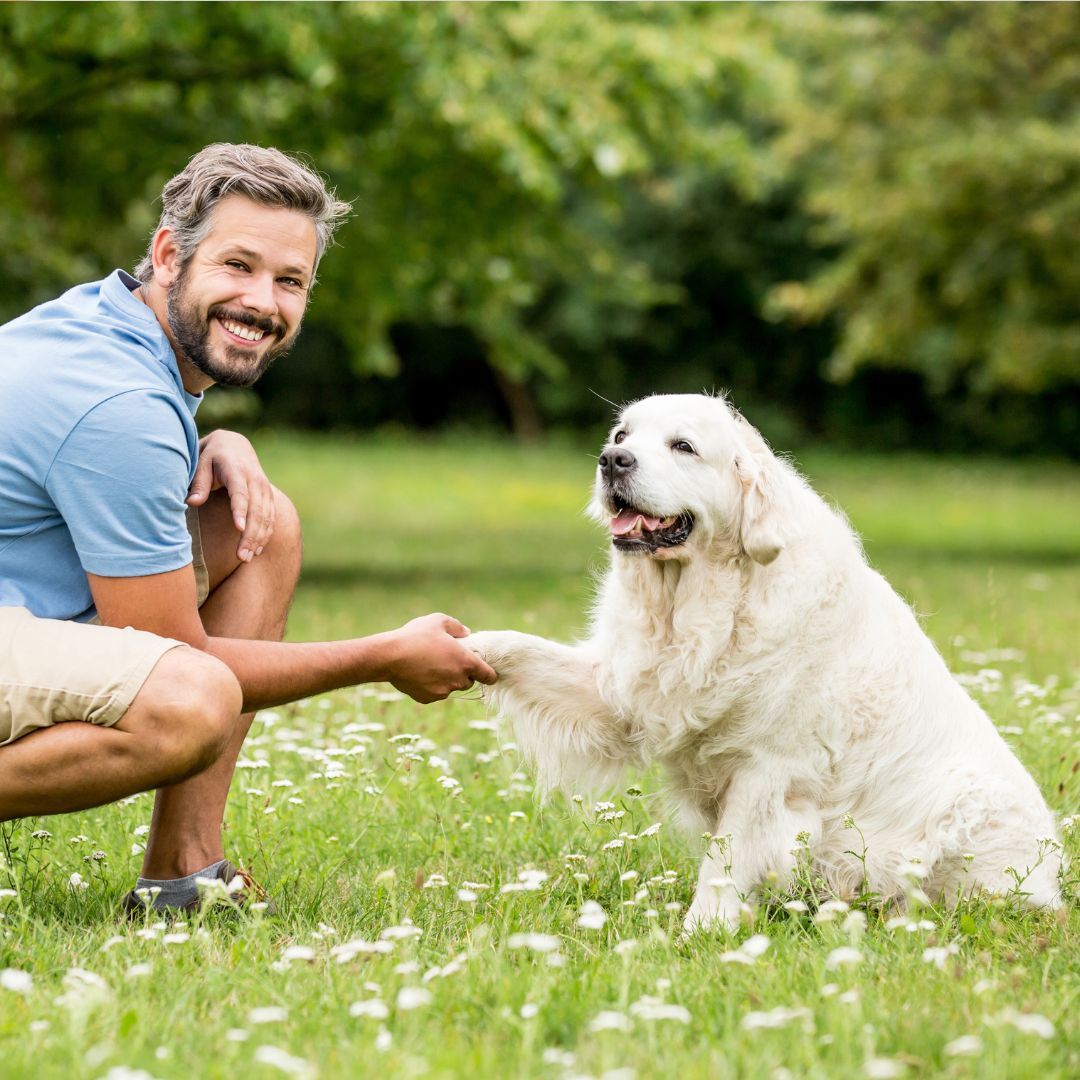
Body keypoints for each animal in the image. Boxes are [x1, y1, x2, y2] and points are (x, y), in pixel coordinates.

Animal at [470, 393, 1062, 933]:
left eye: (683, 446)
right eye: (621, 436)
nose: (613, 461)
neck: (702, 605)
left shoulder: (767, 767)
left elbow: (725, 859)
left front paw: (699, 933)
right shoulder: (625, 692)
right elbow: (523, 650)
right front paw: (468, 647)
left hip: (963, 810)